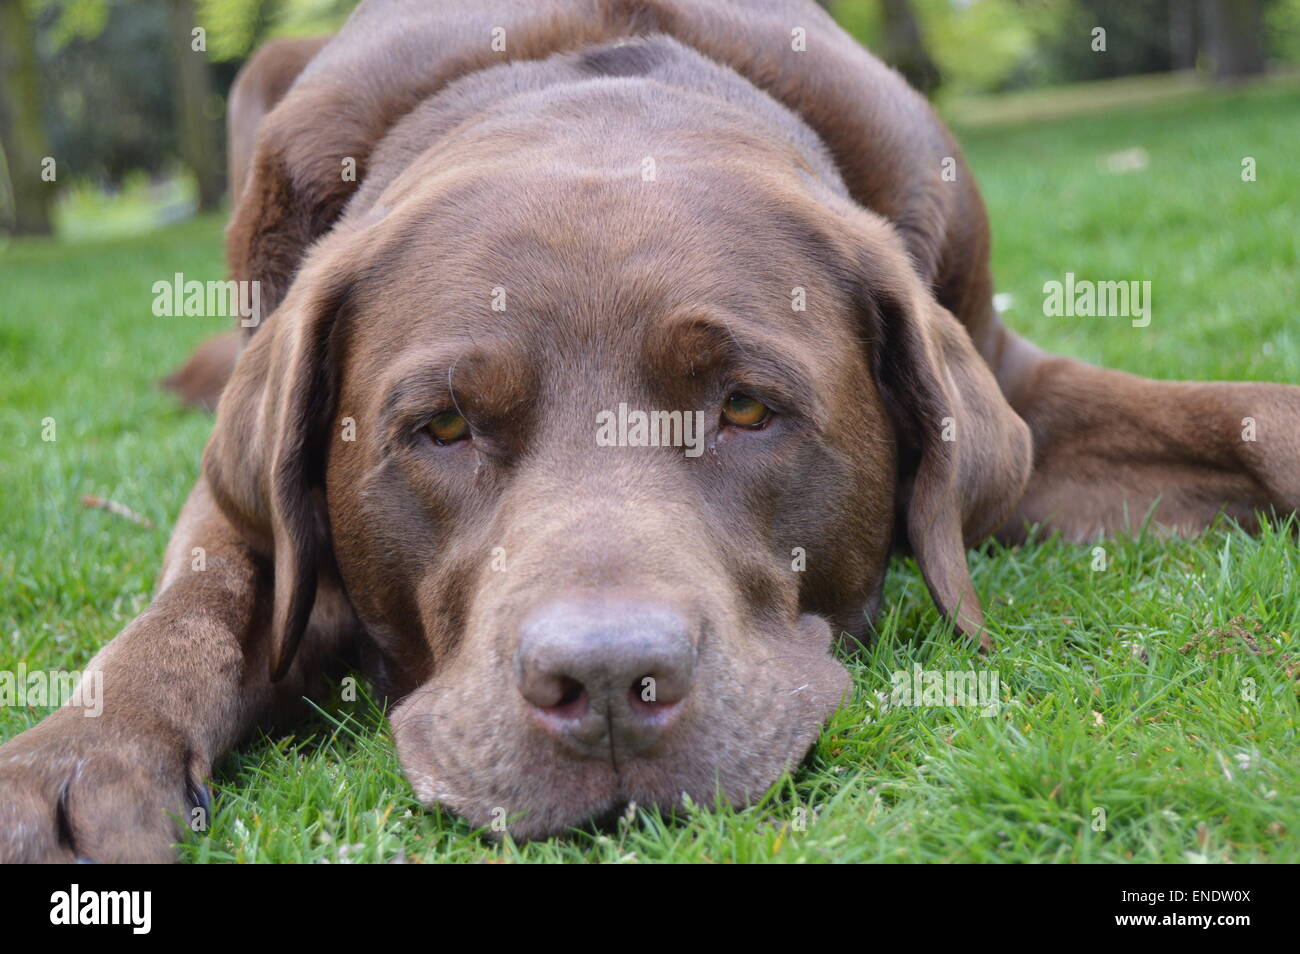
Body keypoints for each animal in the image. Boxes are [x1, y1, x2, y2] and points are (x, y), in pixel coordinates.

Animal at [2, 0, 1300, 863]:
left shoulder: (1007, 371)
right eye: (442, 426)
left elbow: (1252, 419)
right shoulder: (247, 512)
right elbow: (199, 605)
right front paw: (78, 754)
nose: (607, 683)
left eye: (746, 407)